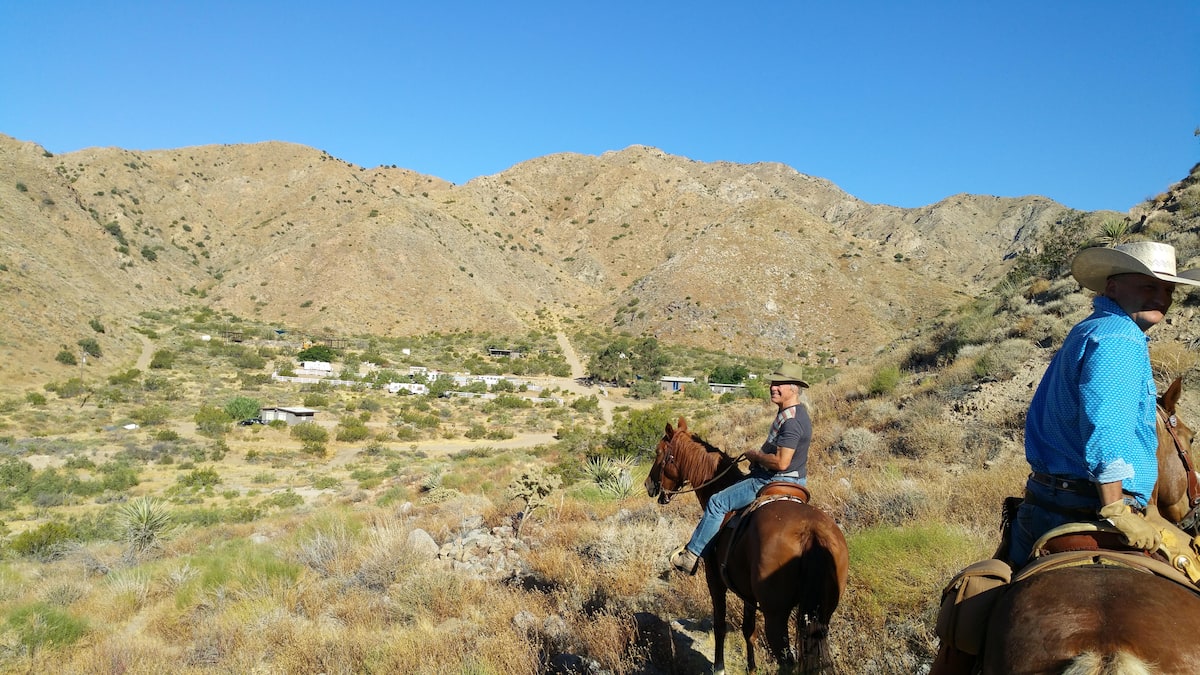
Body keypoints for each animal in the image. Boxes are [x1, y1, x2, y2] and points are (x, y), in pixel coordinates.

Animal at [643, 415, 849, 672]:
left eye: (659, 452)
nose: (648, 485)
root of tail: (811, 532)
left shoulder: (715, 580)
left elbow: (720, 625)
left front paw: (719, 667)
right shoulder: (748, 594)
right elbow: (748, 630)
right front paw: (751, 668)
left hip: (776, 614)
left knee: (786, 661)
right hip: (822, 614)